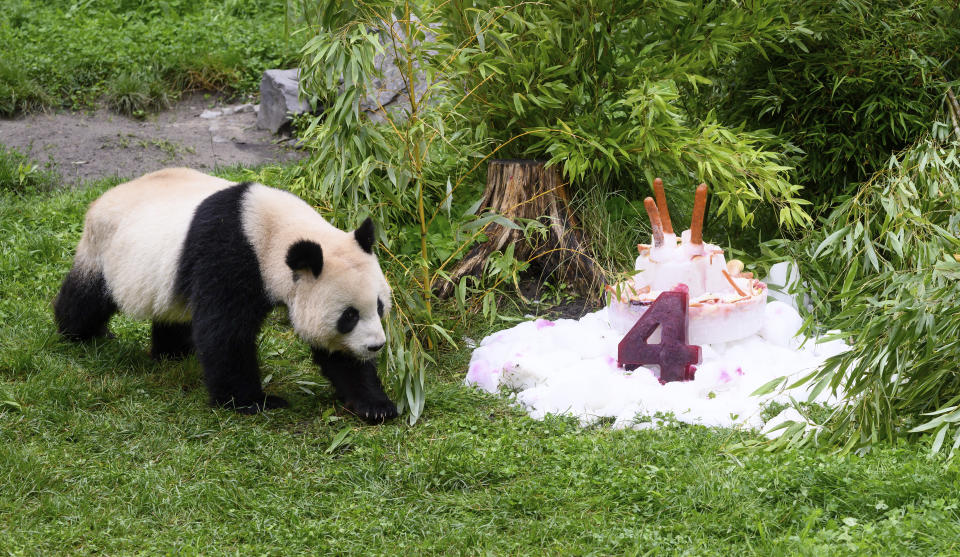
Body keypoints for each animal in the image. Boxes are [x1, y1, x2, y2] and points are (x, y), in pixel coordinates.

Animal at [53, 167, 398, 420]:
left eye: (380, 307)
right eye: (348, 316)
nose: (376, 346)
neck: (274, 231)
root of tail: (101, 199)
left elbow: (337, 353)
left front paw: (375, 405)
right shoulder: (230, 255)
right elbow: (225, 333)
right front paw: (253, 402)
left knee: (172, 311)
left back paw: (174, 351)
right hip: (104, 249)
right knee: (88, 296)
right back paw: (81, 333)